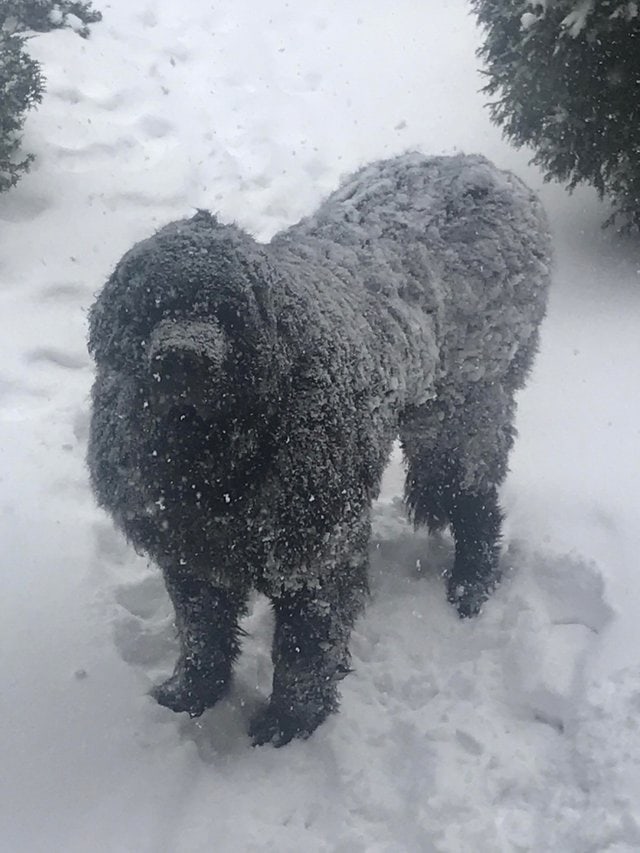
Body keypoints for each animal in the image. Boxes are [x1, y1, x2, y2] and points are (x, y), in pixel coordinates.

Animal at [87, 153, 552, 744]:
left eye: (228, 311)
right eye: (148, 309)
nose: (182, 357)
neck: (219, 451)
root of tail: (483, 168)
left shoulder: (318, 550)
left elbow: (306, 644)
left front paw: (291, 720)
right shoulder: (190, 546)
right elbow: (201, 629)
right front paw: (191, 692)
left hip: (465, 406)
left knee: (474, 496)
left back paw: (471, 582)